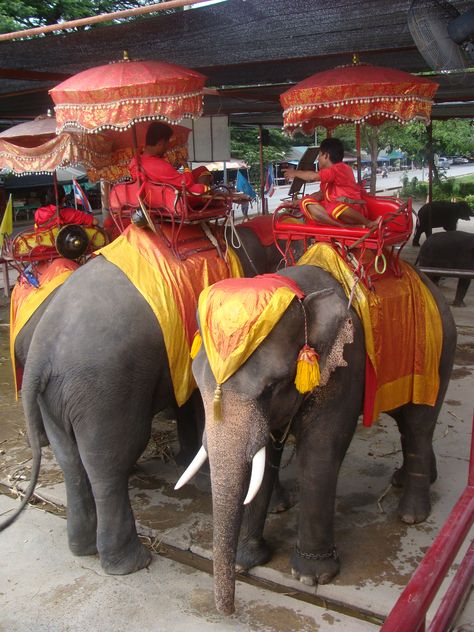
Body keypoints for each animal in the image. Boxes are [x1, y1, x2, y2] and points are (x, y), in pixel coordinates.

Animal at [0, 222, 286, 576]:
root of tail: (42, 353)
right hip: (104, 390)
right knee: (109, 461)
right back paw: (131, 562)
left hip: (57, 396)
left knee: (70, 459)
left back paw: (82, 548)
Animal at [188, 260, 456, 612]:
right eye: (195, 379)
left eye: (271, 387)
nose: (230, 612)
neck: (302, 293)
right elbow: (266, 456)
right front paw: (247, 560)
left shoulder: (345, 366)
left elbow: (319, 454)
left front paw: (311, 576)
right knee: (405, 421)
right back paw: (407, 479)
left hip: (438, 353)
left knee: (418, 425)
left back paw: (411, 515)